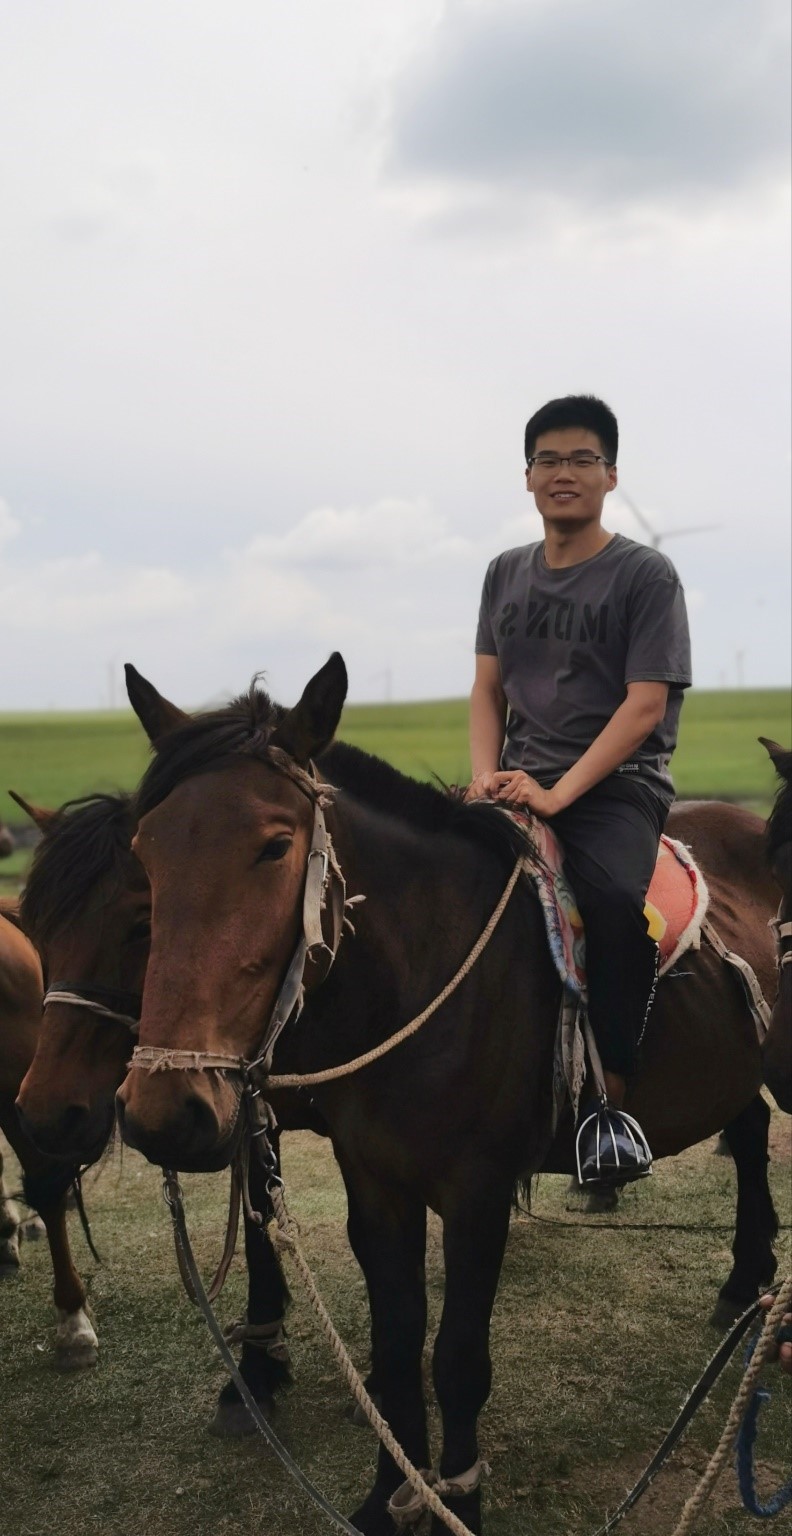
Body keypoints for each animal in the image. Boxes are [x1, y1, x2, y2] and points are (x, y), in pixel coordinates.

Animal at [12, 791, 304, 1434]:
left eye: (141, 927)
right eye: (36, 927)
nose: (43, 1113)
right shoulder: (252, 1120)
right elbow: (258, 1226)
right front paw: (256, 1373)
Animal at [110, 655, 781, 1536]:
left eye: (275, 846)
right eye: (144, 852)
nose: (166, 1113)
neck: (421, 970)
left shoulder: (476, 1195)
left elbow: (457, 1356)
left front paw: (460, 1496)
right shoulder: (376, 1188)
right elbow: (396, 1351)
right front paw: (384, 1497)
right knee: (752, 1128)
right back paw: (744, 1282)